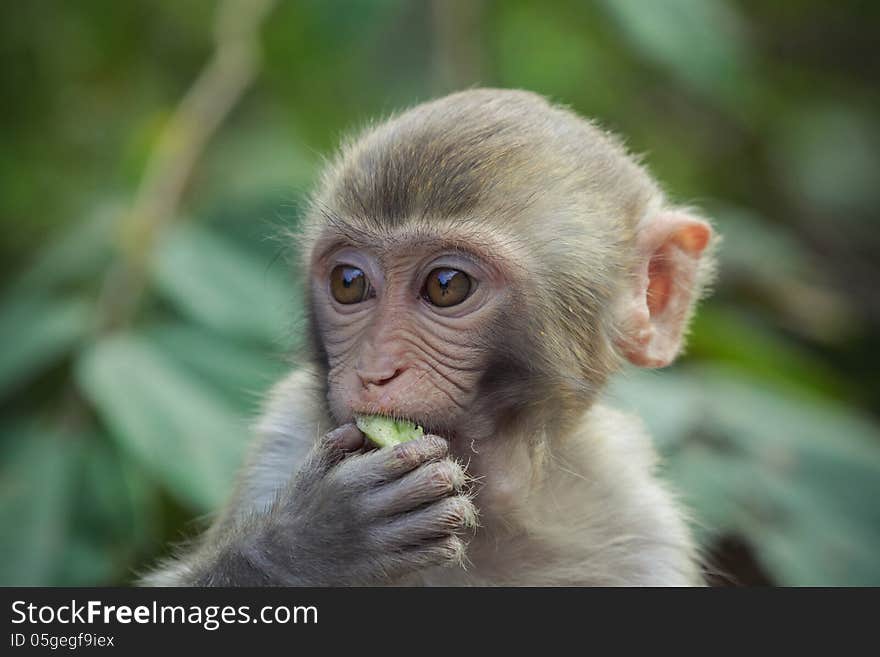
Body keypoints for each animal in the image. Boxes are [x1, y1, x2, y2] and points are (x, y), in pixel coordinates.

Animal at [143, 86, 716, 584]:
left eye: (447, 286)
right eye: (349, 283)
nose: (374, 371)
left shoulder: (643, 525)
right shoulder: (281, 436)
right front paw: (314, 539)